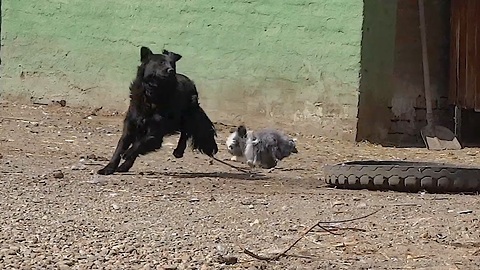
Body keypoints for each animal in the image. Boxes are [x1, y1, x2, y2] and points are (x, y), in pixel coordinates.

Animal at [98, 46, 218, 175]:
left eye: (172, 64)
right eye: (161, 63)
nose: (171, 70)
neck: (152, 94)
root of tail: (190, 81)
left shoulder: (155, 134)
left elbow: (140, 143)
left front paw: (127, 153)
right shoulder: (130, 127)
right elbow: (120, 148)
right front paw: (108, 168)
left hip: (188, 114)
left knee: (185, 132)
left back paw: (178, 151)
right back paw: (124, 166)